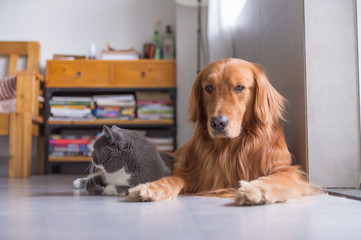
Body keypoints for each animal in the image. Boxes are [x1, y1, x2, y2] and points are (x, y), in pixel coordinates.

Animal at [127, 58, 318, 204]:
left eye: (239, 87)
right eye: (209, 88)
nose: (218, 123)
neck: (229, 148)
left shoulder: (287, 170)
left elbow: (273, 179)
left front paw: (252, 190)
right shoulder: (190, 171)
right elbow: (172, 178)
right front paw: (150, 187)